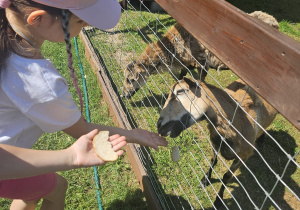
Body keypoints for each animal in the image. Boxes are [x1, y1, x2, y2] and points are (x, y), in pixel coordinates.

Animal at [157, 77, 276, 208]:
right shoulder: (215, 142)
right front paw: (205, 181)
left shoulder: (243, 156)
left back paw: (261, 140)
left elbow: (227, 176)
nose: (159, 125)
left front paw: (218, 201)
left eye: (180, 91)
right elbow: (213, 161)